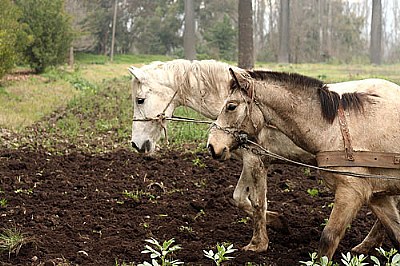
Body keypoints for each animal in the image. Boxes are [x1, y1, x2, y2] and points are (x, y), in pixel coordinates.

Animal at [127, 58, 316, 251]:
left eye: (140, 100)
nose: (136, 144)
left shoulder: (256, 160)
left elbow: (258, 202)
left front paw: (259, 243)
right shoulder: (249, 162)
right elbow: (239, 198)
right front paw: (278, 221)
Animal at [208, 69, 400, 258]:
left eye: (231, 106)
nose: (212, 145)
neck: (336, 131)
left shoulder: (351, 191)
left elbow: (327, 238)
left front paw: (258, 242)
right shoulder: (377, 195)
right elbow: (396, 232)